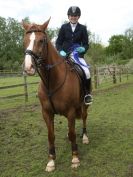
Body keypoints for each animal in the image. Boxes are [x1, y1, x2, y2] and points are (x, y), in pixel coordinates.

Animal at [22, 18, 90, 172]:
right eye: (24, 40)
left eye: (41, 40)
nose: (28, 68)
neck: (51, 82)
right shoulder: (46, 113)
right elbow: (51, 135)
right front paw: (51, 161)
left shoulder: (71, 111)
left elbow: (73, 134)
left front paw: (75, 158)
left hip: (84, 105)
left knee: (84, 118)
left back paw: (84, 137)